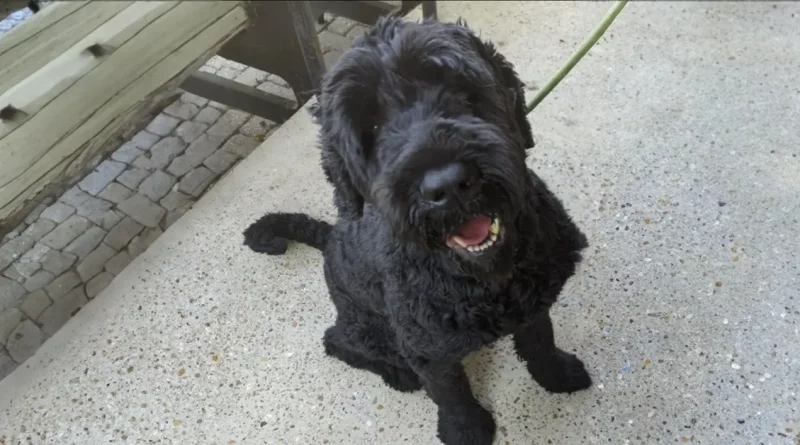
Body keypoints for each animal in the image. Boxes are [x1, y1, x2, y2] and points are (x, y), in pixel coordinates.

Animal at [247, 15, 592, 442]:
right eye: (371, 125)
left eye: (459, 89)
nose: (447, 184)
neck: (483, 280)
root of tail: (329, 238)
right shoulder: (427, 350)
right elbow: (451, 393)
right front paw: (466, 430)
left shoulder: (534, 301)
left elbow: (540, 341)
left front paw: (555, 373)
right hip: (369, 329)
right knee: (338, 341)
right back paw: (397, 373)